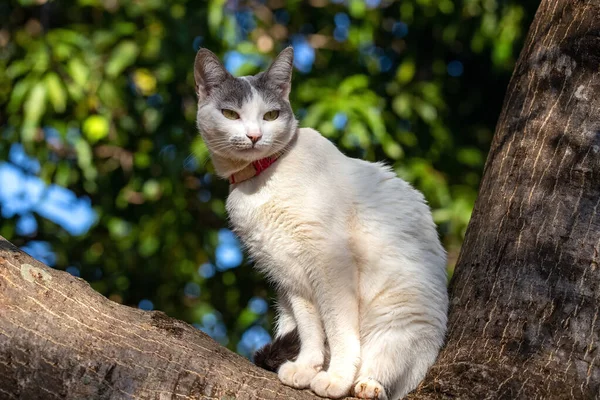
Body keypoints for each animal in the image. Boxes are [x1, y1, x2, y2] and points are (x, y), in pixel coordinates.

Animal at [195, 47, 448, 400]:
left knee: (387, 371)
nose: (255, 136)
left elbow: (338, 329)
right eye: (231, 114)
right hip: (285, 309)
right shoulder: (291, 275)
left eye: (271, 116)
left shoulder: (330, 263)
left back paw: (366, 385)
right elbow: (312, 330)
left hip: (401, 318)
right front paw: (307, 368)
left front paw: (336, 378)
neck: (261, 179)